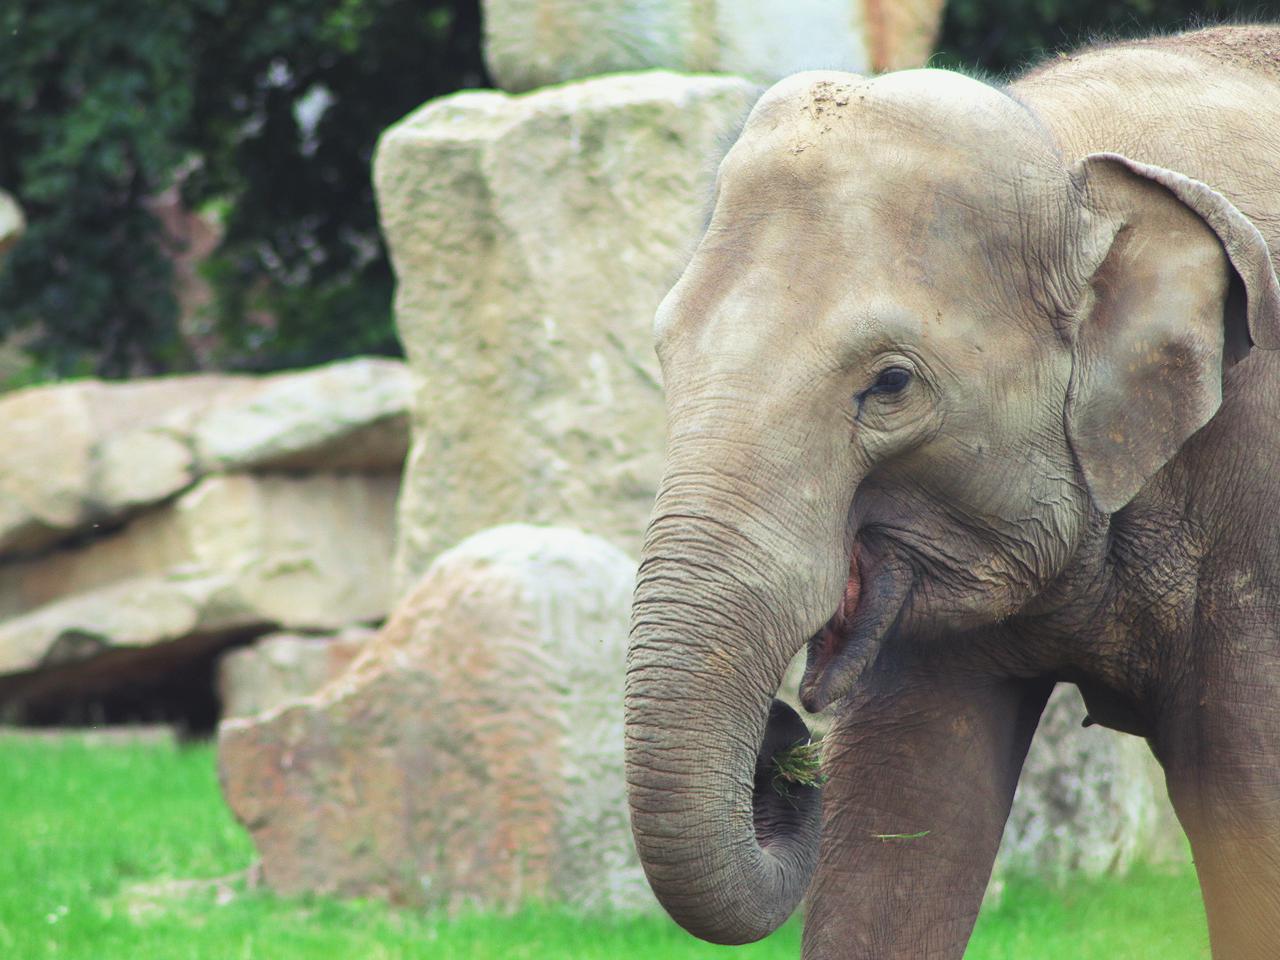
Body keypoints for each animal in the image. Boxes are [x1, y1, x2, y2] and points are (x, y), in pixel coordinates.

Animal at [624, 24, 1280, 960]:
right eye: (665, 352)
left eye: (892, 383)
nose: (784, 744)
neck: (1069, 154)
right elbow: (902, 817)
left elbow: (1250, 814)